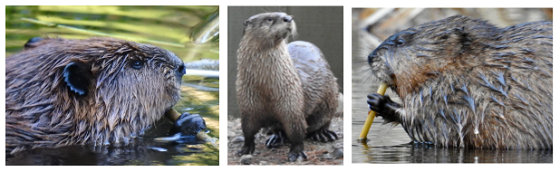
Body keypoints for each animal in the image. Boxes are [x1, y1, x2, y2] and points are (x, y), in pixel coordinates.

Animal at [235, 12, 340, 161]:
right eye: (269, 18)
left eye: (285, 14)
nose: (288, 18)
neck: (266, 88)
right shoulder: (247, 106)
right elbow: (247, 130)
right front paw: (245, 149)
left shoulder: (292, 104)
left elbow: (296, 131)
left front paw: (296, 153)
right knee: (278, 129)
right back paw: (276, 138)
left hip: (330, 97)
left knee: (323, 120)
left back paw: (323, 134)